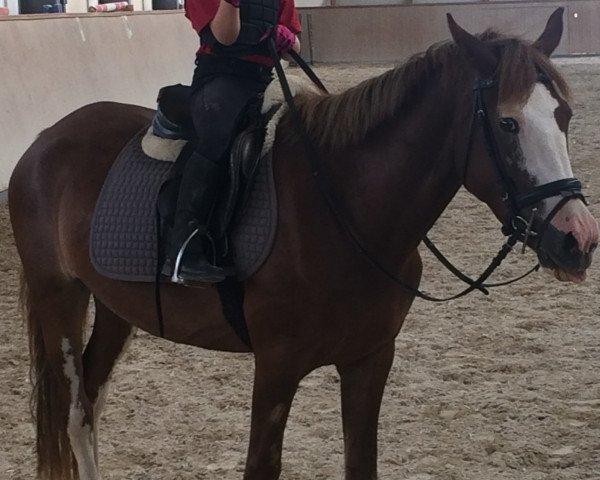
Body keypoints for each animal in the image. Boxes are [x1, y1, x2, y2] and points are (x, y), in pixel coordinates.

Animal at [7, 8, 596, 480]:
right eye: (507, 123)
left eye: (564, 115)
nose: (577, 239)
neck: (345, 211)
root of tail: (44, 142)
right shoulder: (276, 368)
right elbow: (261, 466)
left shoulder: (368, 361)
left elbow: (362, 461)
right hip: (59, 296)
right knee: (74, 412)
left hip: (115, 307)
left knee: (90, 402)